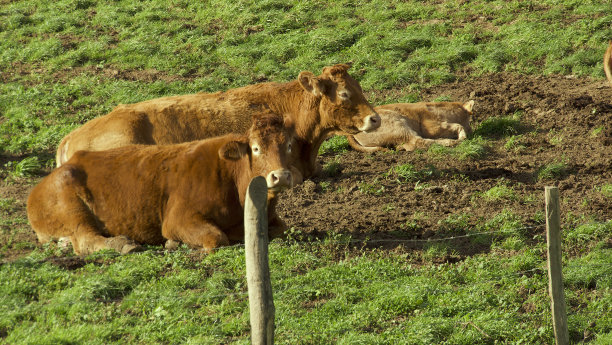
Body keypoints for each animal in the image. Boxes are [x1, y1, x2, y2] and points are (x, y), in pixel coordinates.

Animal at [28, 113, 294, 255]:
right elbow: (217, 238)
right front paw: (177, 243)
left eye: (289, 146)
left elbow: (281, 229)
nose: (280, 176)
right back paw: (124, 244)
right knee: (86, 240)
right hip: (73, 210)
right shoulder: (179, 218)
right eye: (256, 149)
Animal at [344, 100, 474, 153]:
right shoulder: (432, 126)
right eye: (469, 120)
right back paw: (451, 142)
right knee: (417, 142)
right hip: (399, 126)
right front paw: (462, 136)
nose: (471, 130)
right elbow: (457, 125)